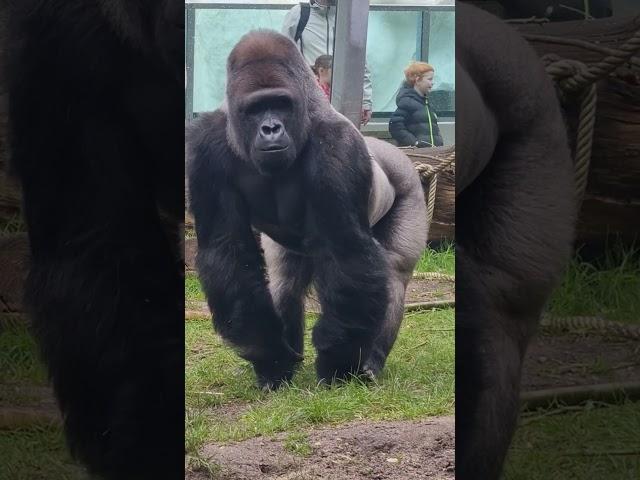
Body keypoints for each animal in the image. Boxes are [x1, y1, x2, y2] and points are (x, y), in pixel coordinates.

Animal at [185, 30, 424, 390]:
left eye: (281, 104)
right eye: (255, 108)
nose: (271, 128)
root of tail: (390, 149)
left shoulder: (338, 147)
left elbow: (346, 250)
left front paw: (336, 360)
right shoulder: (205, 149)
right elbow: (227, 250)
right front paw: (269, 355)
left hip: (408, 185)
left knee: (394, 270)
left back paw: (371, 360)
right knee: (284, 282)